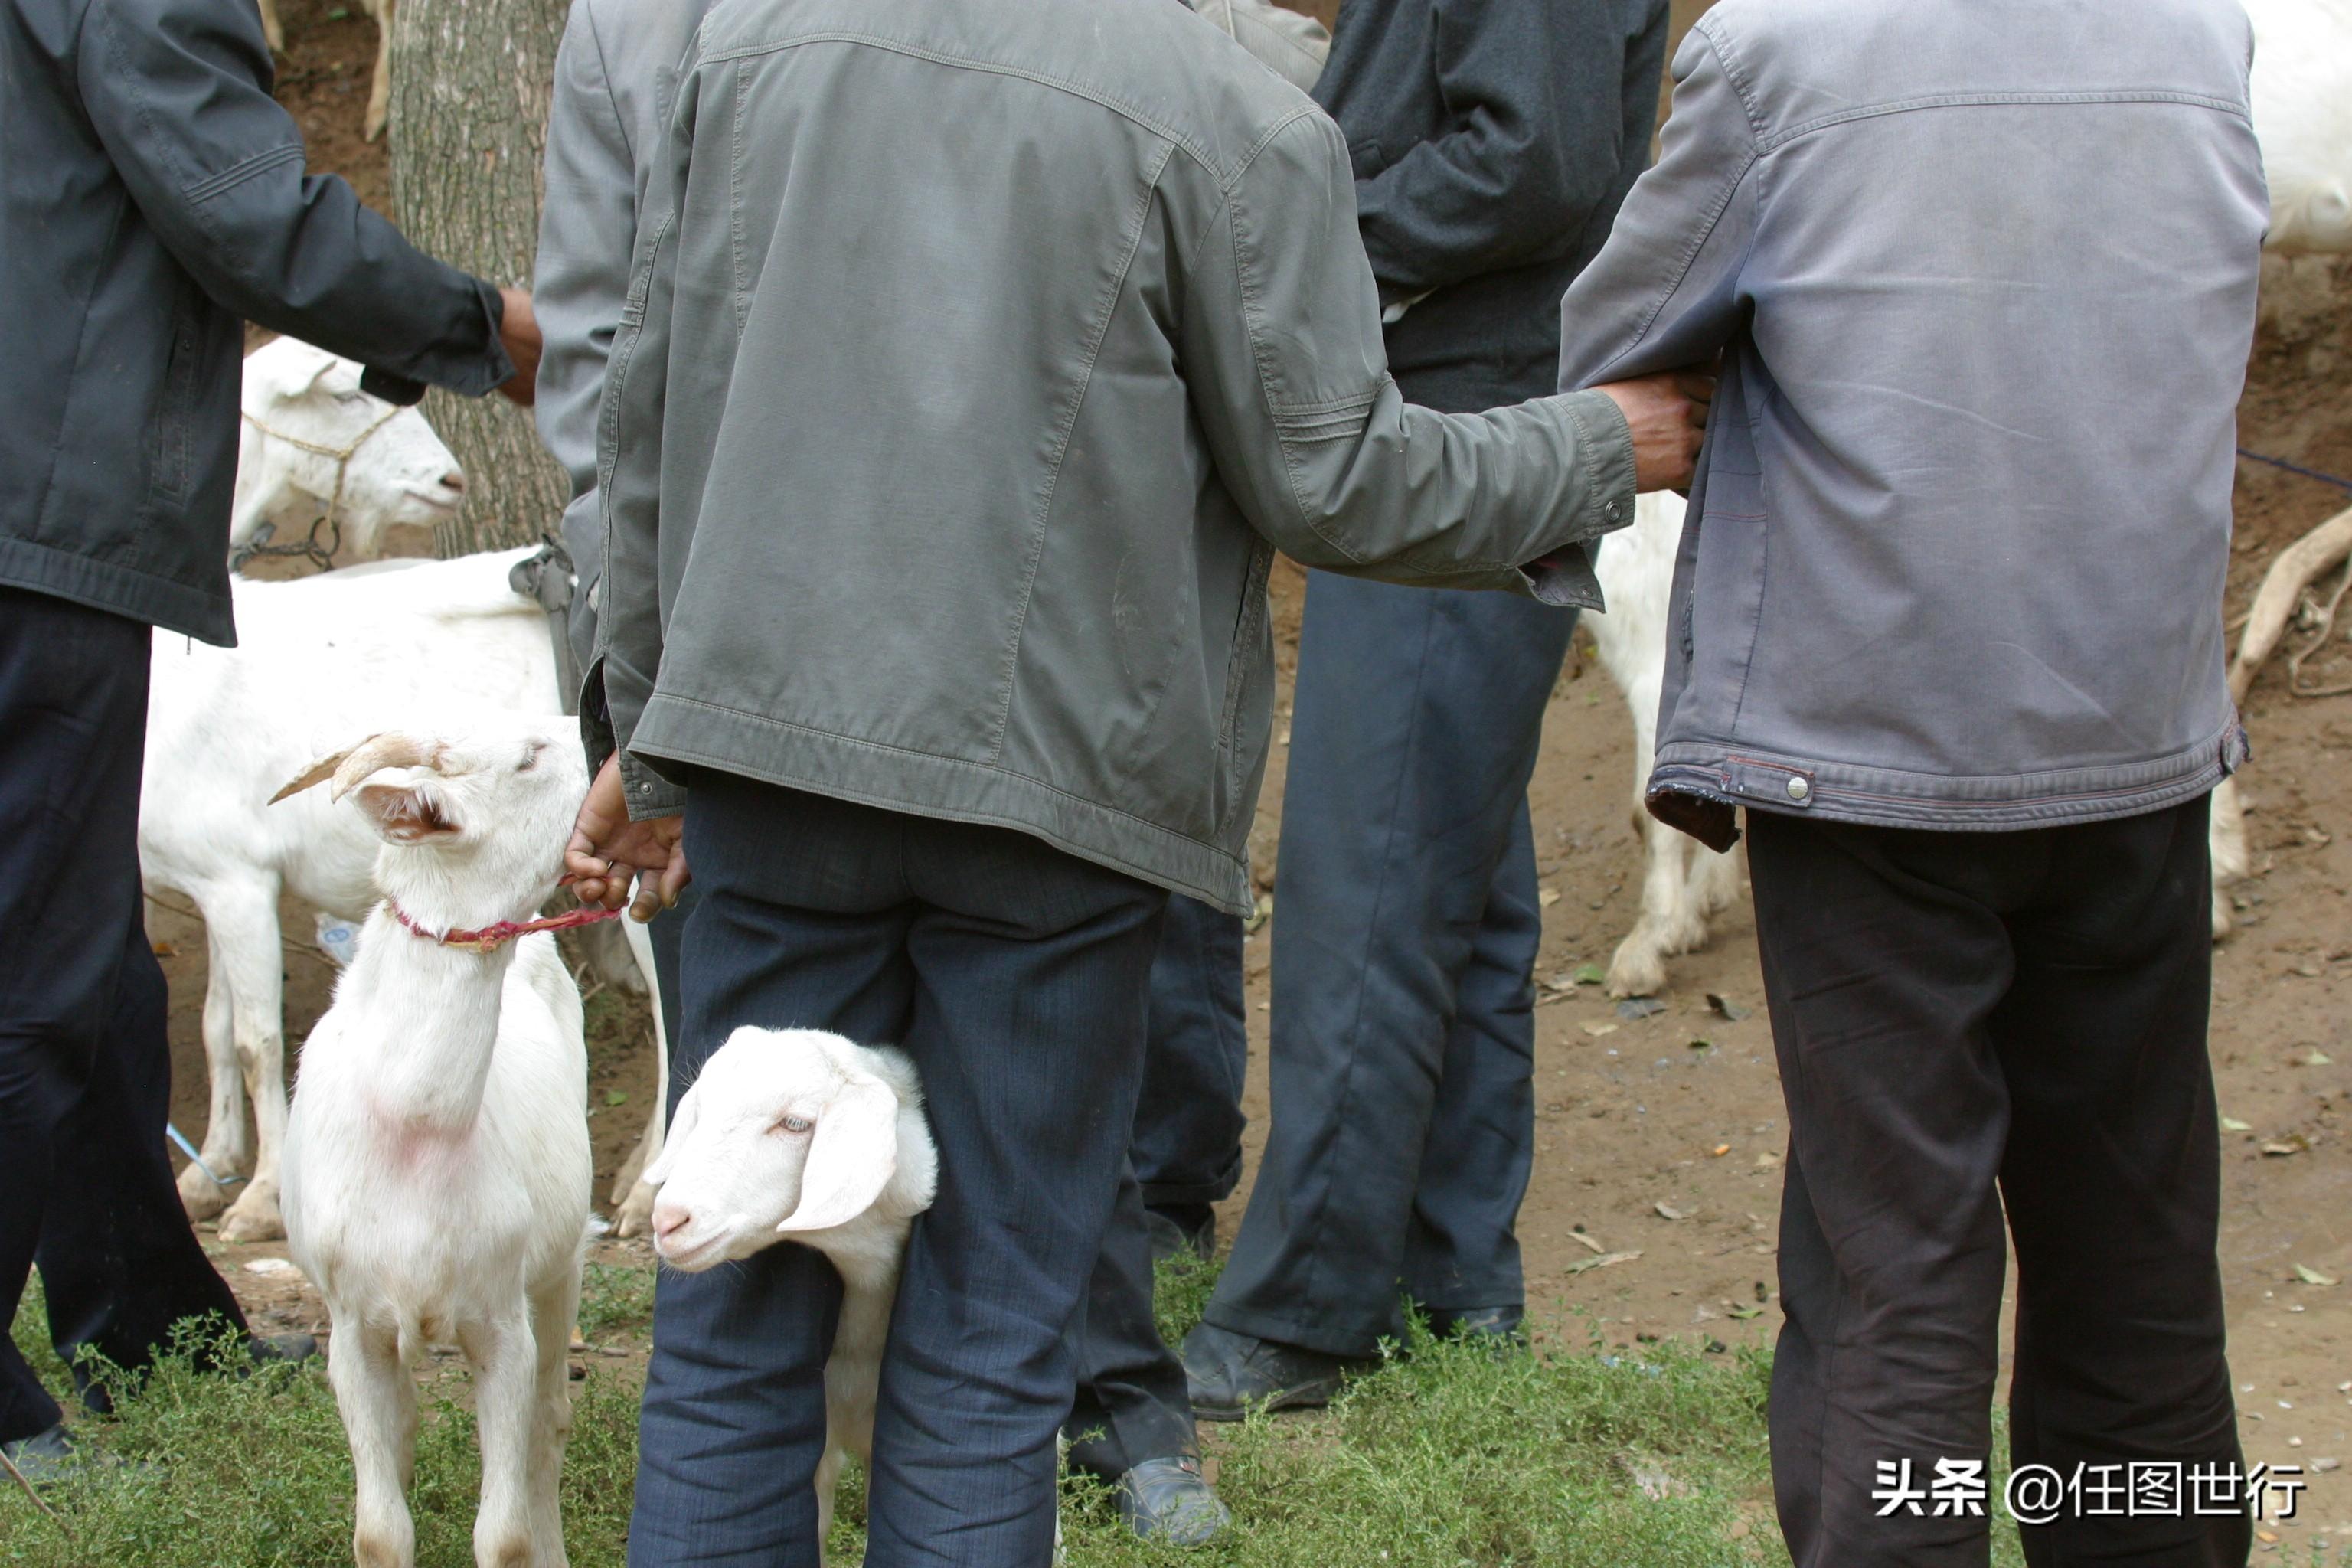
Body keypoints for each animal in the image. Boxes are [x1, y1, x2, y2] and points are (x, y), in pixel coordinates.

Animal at [279, 724, 593, 1568]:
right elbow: (379, 1529)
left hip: (560, 1270)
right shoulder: (350, 1327)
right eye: (527, 757)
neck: (416, 1124)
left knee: (551, 1421)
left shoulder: (501, 1320)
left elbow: (506, 1532)